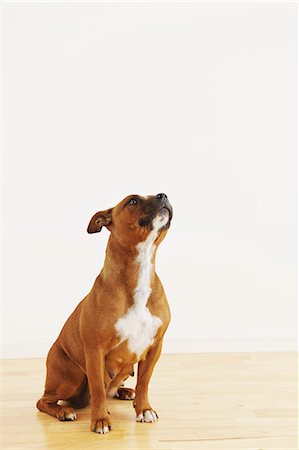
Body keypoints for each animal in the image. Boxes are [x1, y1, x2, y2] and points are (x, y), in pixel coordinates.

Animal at [37, 192, 173, 434]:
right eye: (133, 201)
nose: (163, 195)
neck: (140, 270)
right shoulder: (95, 351)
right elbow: (98, 388)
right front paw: (100, 419)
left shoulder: (155, 346)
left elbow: (144, 382)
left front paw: (144, 409)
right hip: (70, 376)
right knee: (45, 400)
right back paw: (64, 411)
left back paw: (125, 391)